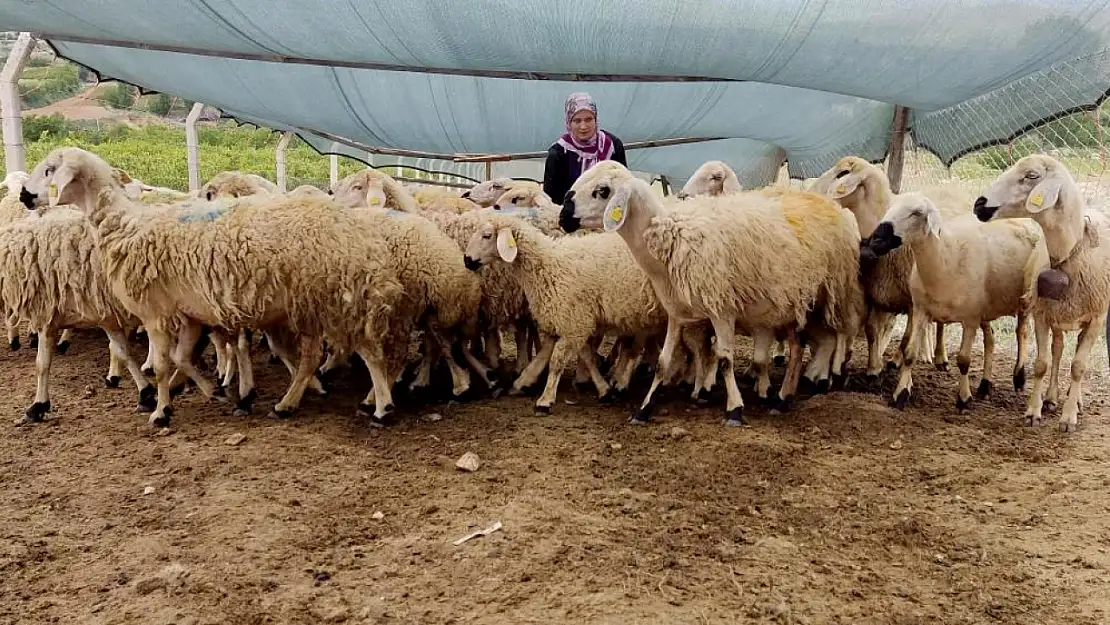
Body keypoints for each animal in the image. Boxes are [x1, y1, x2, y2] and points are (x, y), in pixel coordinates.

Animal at [865, 193, 1038, 412]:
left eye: (917, 212)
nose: (876, 240)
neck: (945, 257)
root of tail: (1025, 219)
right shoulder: (921, 310)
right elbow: (910, 354)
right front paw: (900, 394)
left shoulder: (970, 319)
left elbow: (964, 360)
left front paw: (964, 399)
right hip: (985, 308)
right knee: (990, 339)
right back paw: (985, 385)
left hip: (1024, 300)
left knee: (1021, 332)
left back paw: (1019, 377)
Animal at [972, 154, 1110, 432]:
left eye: (1032, 176)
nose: (979, 204)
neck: (1068, 253)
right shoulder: (1043, 315)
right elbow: (1042, 364)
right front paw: (1033, 411)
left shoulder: (1096, 319)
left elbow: (1079, 367)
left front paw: (1069, 418)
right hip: (1059, 315)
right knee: (1057, 350)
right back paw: (1051, 398)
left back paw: (1075, 402)